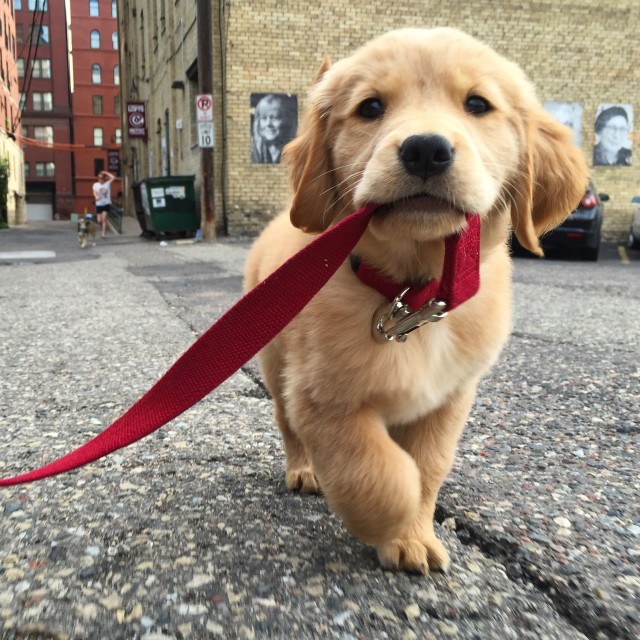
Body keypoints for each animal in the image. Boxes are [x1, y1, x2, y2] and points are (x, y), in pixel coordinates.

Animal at [245, 26, 592, 576]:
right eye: (370, 107)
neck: (411, 297)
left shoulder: (448, 399)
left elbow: (427, 466)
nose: (425, 149)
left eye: (477, 104)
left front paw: (413, 534)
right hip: (277, 366)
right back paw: (303, 470)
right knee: (287, 425)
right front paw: (394, 523)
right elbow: (378, 475)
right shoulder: (322, 401)